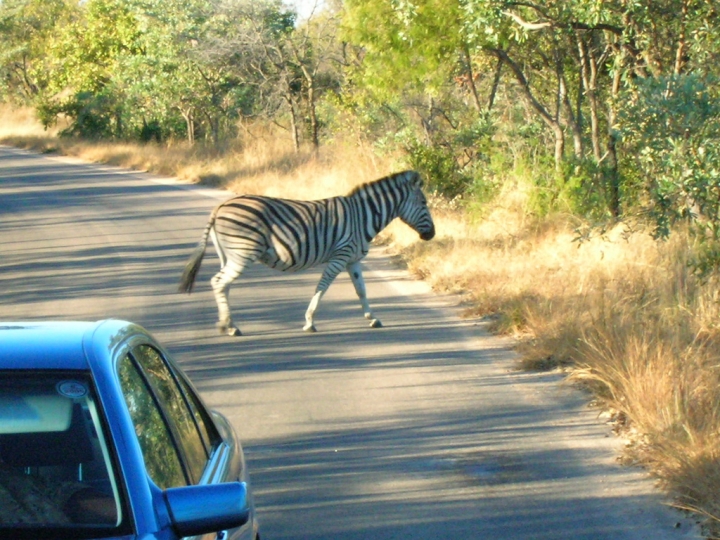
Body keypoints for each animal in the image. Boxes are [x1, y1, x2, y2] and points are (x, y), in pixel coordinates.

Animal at [179, 171, 438, 336]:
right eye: (424, 203)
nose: (432, 235)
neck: (363, 216)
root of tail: (220, 207)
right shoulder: (340, 256)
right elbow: (321, 288)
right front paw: (309, 322)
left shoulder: (353, 260)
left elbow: (361, 290)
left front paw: (372, 318)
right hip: (242, 253)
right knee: (218, 282)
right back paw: (228, 326)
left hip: (229, 255)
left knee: (223, 285)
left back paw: (230, 323)